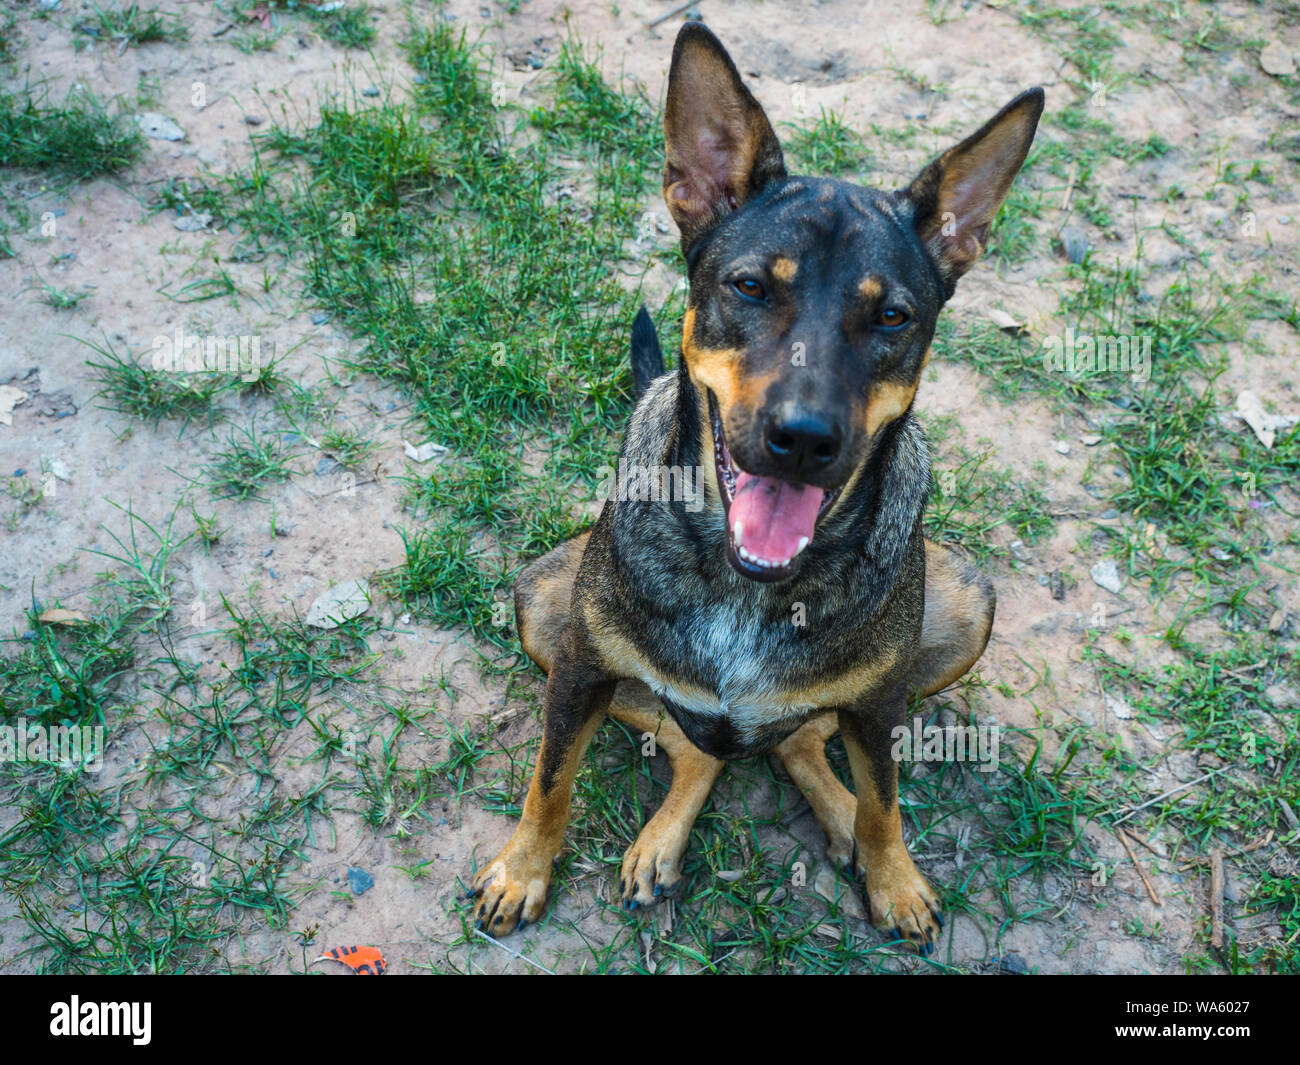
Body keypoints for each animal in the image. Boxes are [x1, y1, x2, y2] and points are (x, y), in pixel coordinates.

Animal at [470, 20, 1045, 951]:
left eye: (893, 316)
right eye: (748, 285)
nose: (803, 440)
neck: (746, 584)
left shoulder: (881, 699)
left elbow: (886, 798)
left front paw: (892, 875)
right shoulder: (582, 667)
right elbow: (550, 778)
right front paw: (522, 870)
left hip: (964, 607)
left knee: (798, 737)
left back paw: (835, 814)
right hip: (543, 606)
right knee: (697, 743)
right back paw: (666, 837)